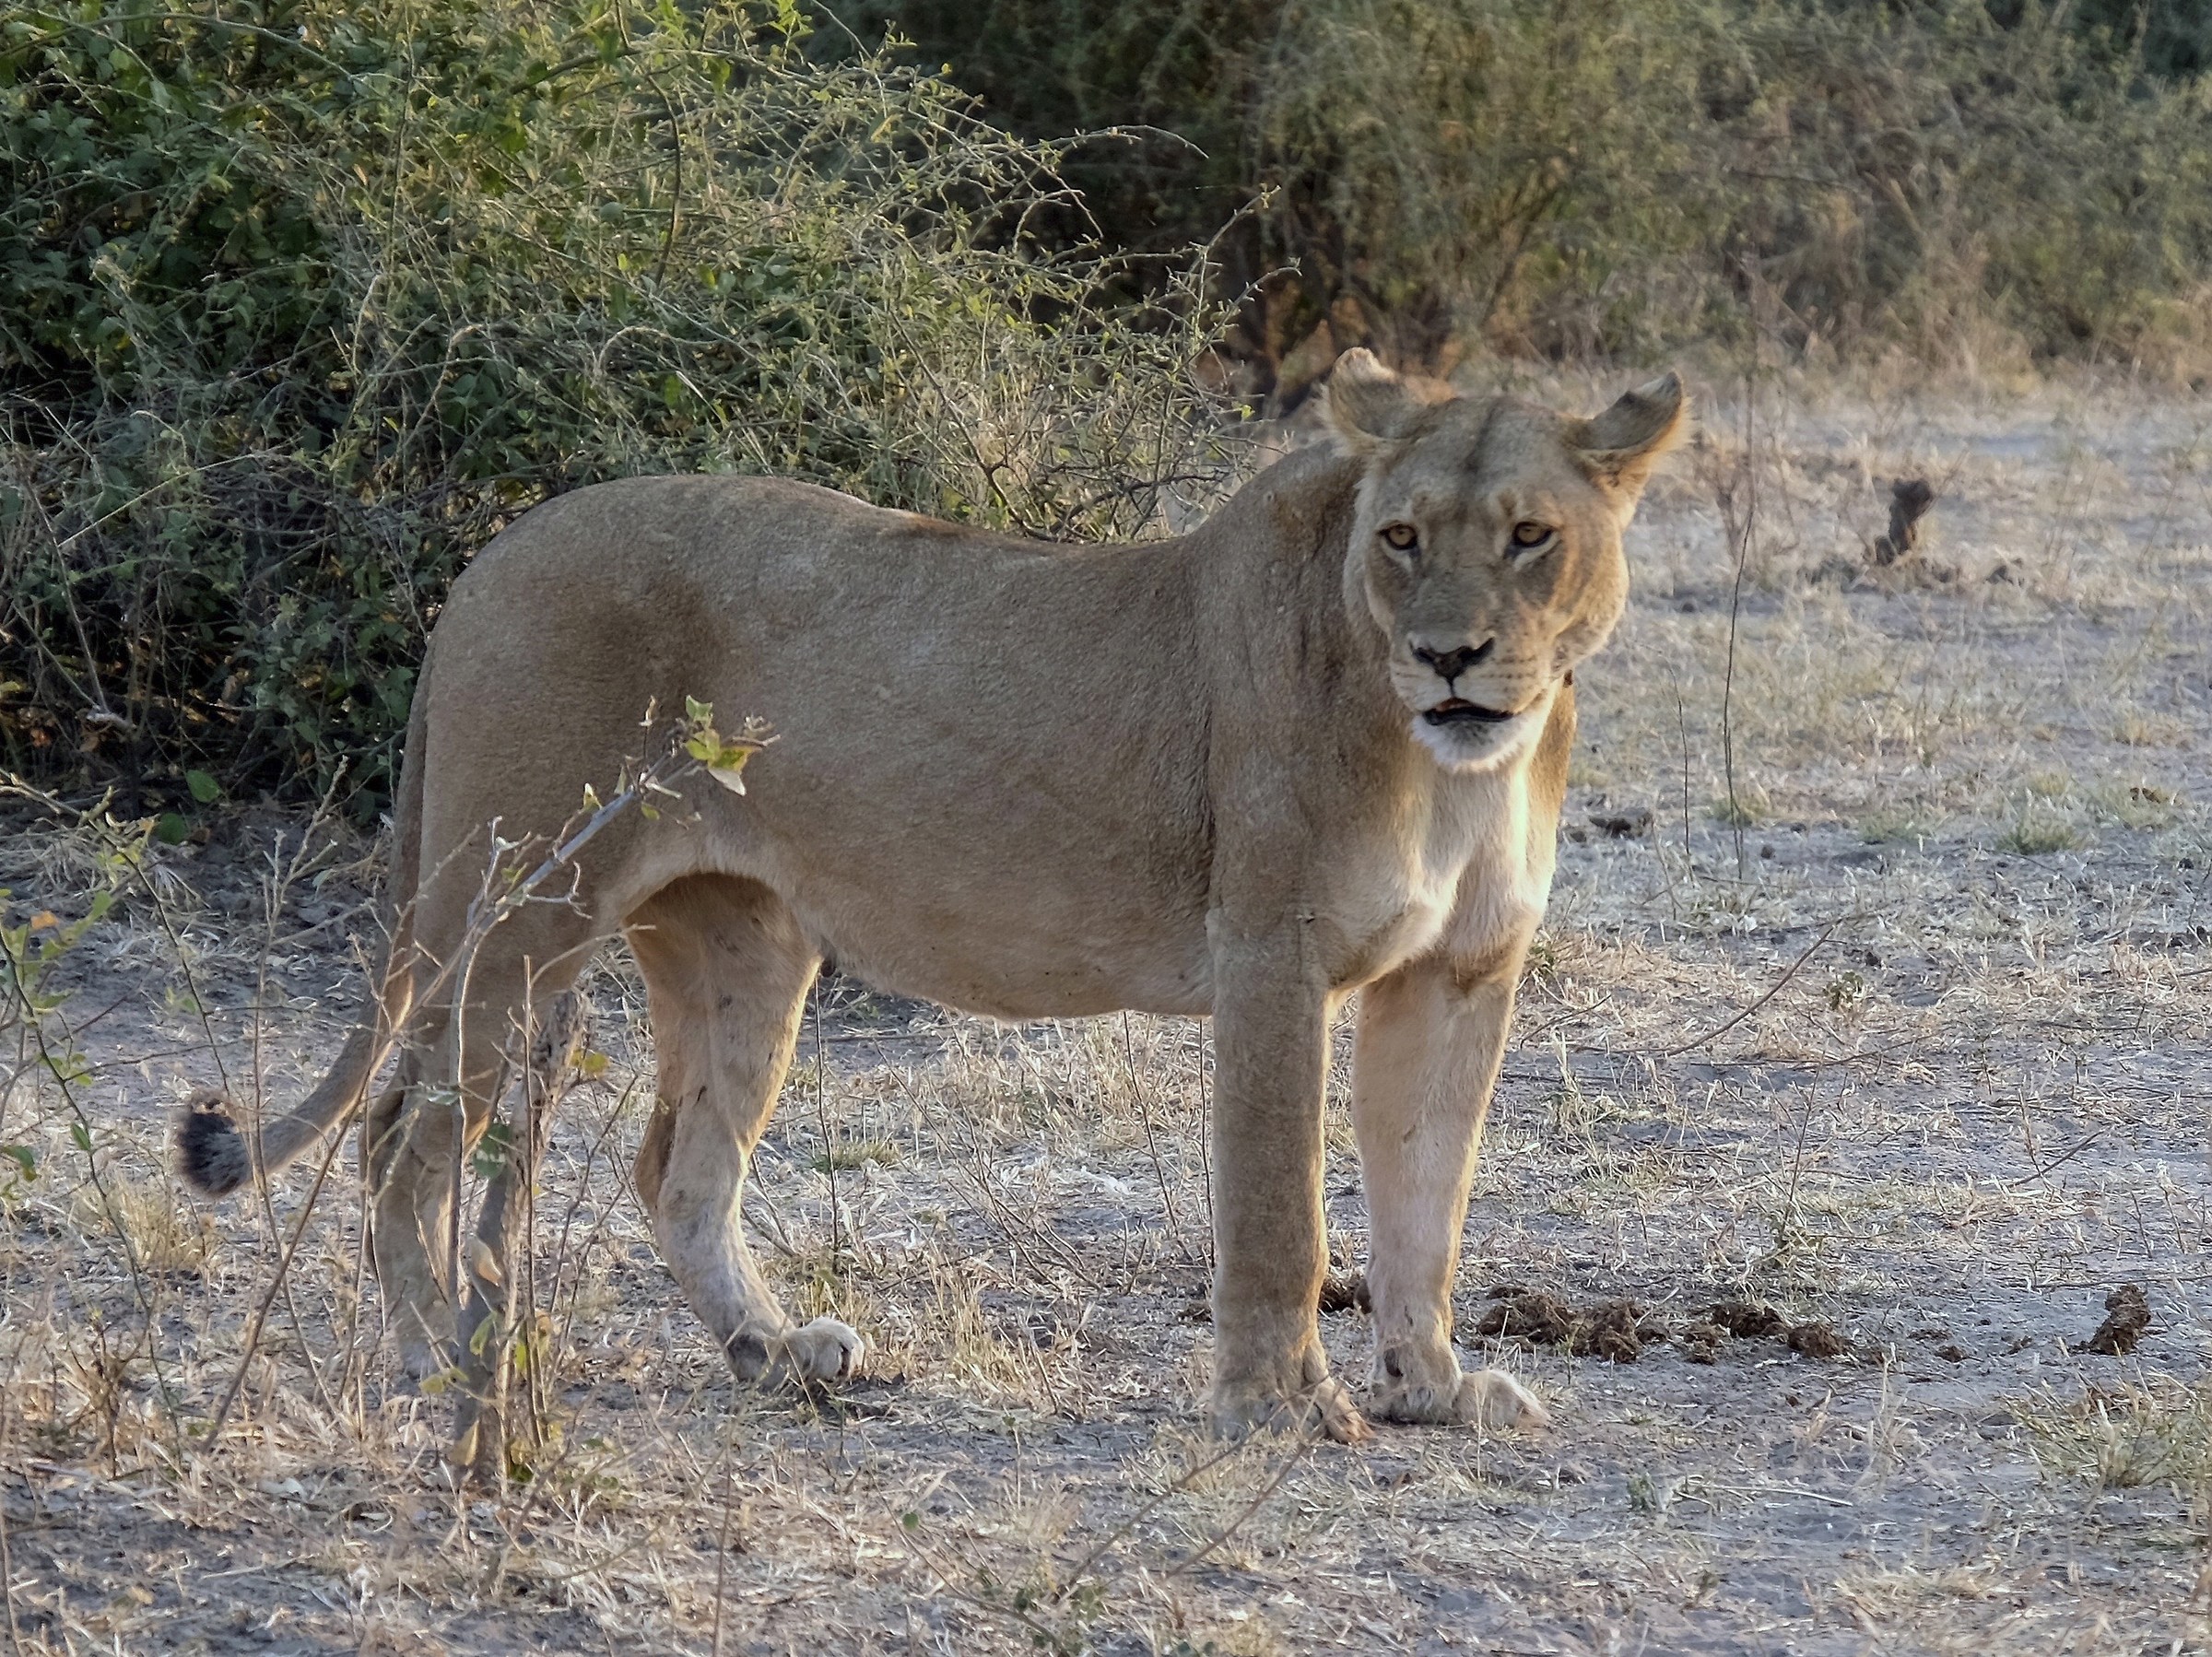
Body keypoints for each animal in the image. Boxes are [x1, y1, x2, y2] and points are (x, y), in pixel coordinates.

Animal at [175, 349, 1685, 1443]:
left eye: (1532, 536)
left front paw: (1434, 1386)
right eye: (1403, 537)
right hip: (519, 912)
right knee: (406, 1132)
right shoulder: (1275, 952)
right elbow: (1282, 1211)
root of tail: (487, 560)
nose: (1449, 657)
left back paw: (775, 1352)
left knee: (678, 1166)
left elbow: (1430, 1198)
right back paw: (438, 1360)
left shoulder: (1461, 971)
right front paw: (1281, 1409)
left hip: (743, 940)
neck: (1455, 768)